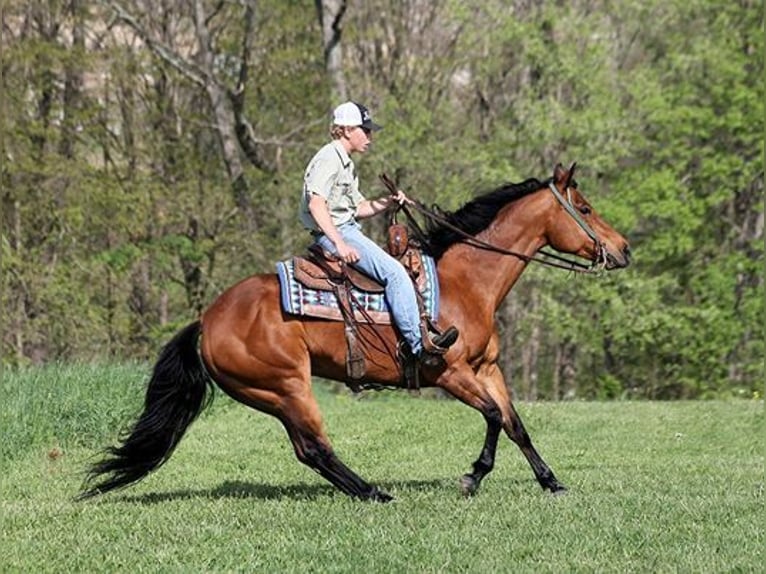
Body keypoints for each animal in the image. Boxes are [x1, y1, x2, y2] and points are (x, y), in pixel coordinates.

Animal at [80, 163, 631, 502]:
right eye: (584, 208)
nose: (623, 248)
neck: (465, 283)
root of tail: (207, 319)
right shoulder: (450, 374)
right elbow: (494, 417)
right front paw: (472, 477)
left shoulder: (487, 368)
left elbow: (516, 424)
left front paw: (551, 482)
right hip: (287, 386)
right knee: (316, 447)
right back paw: (373, 491)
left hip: (275, 394)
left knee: (307, 450)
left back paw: (364, 489)